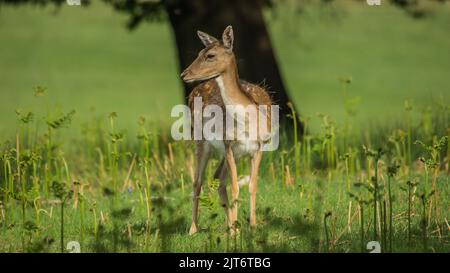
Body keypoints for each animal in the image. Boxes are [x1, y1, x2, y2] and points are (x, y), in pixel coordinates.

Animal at [180, 25, 272, 234]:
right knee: (198, 181)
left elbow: (252, 184)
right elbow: (235, 187)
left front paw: (252, 226)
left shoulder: (259, 147)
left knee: (218, 179)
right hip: (201, 140)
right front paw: (237, 229)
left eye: (210, 55)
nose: (184, 74)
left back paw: (230, 226)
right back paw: (194, 228)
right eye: (199, 53)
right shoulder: (229, 144)